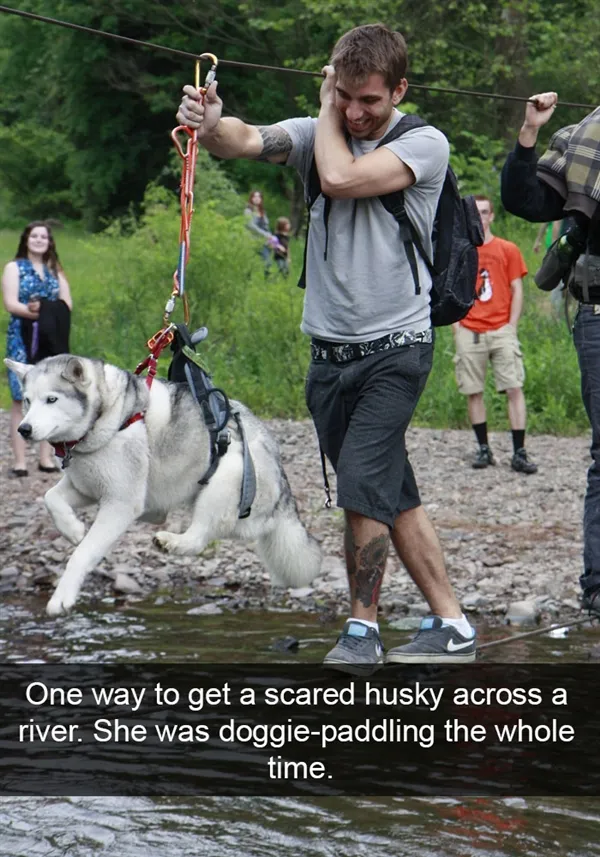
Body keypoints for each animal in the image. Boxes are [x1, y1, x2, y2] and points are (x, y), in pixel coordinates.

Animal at [5, 354, 324, 616]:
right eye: (28, 400)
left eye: (52, 400)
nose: (24, 429)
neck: (108, 420)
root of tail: (280, 470)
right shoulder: (85, 487)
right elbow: (51, 498)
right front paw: (71, 529)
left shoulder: (119, 504)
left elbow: (82, 553)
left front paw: (63, 596)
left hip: (227, 479)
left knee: (200, 536)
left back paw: (173, 540)